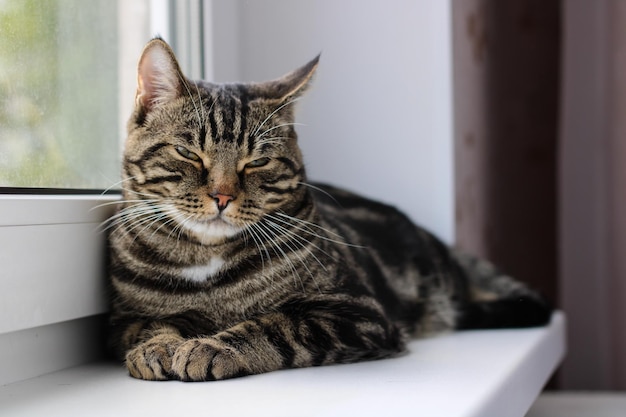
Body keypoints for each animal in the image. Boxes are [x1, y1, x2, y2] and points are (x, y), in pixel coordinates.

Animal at [108, 38, 552, 380]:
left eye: (258, 161)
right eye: (188, 153)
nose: (222, 195)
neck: (207, 262)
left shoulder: (357, 312)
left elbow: (275, 326)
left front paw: (213, 348)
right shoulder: (124, 318)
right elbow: (151, 323)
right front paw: (159, 346)